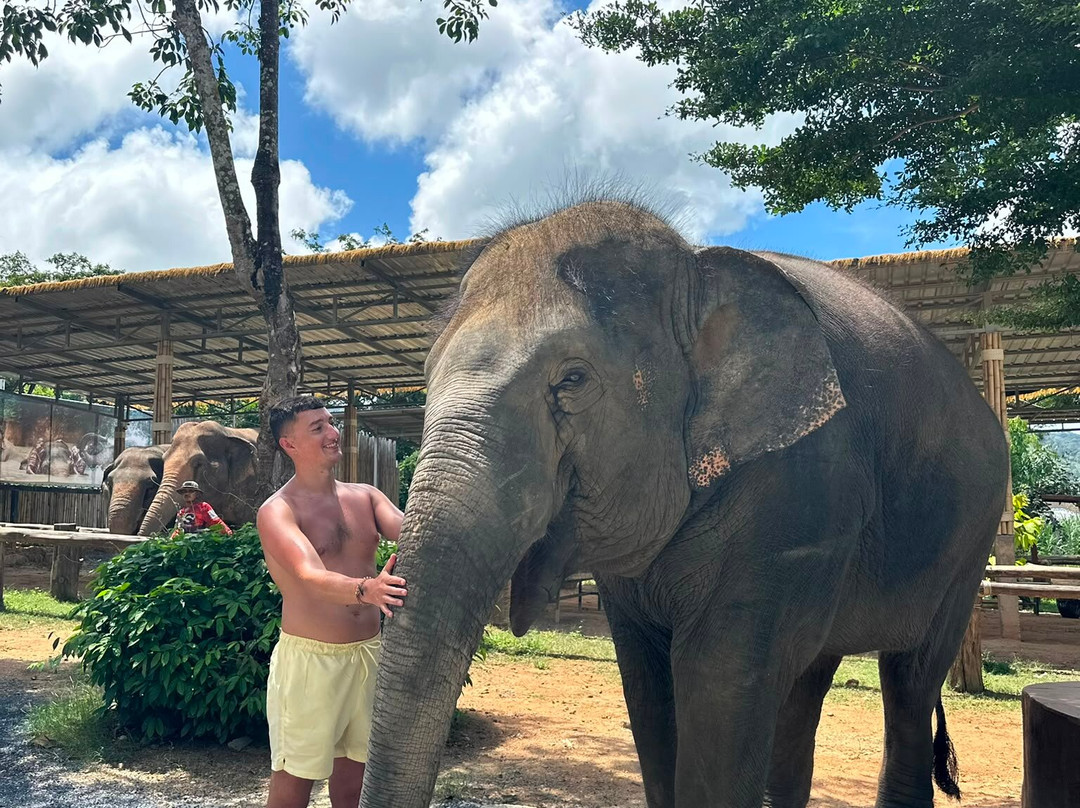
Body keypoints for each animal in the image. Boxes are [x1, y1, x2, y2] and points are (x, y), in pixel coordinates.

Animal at [360, 201, 1010, 808]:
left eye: (572, 380)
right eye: (425, 374)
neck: (698, 272)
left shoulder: (798, 488)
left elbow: (719, 677)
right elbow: (648, 681)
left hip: (970, 539)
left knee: (910, 679)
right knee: (811, 677)